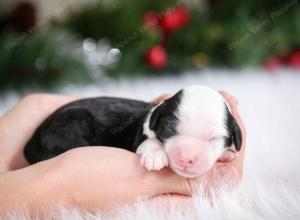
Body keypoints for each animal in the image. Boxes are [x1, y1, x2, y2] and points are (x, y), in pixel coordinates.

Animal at [24, 85, 243, 178]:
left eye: (214, 139)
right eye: (169, 129)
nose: (186, 159)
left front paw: (225, 154)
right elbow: (148, 141)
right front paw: (155, 155)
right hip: (73, 120)